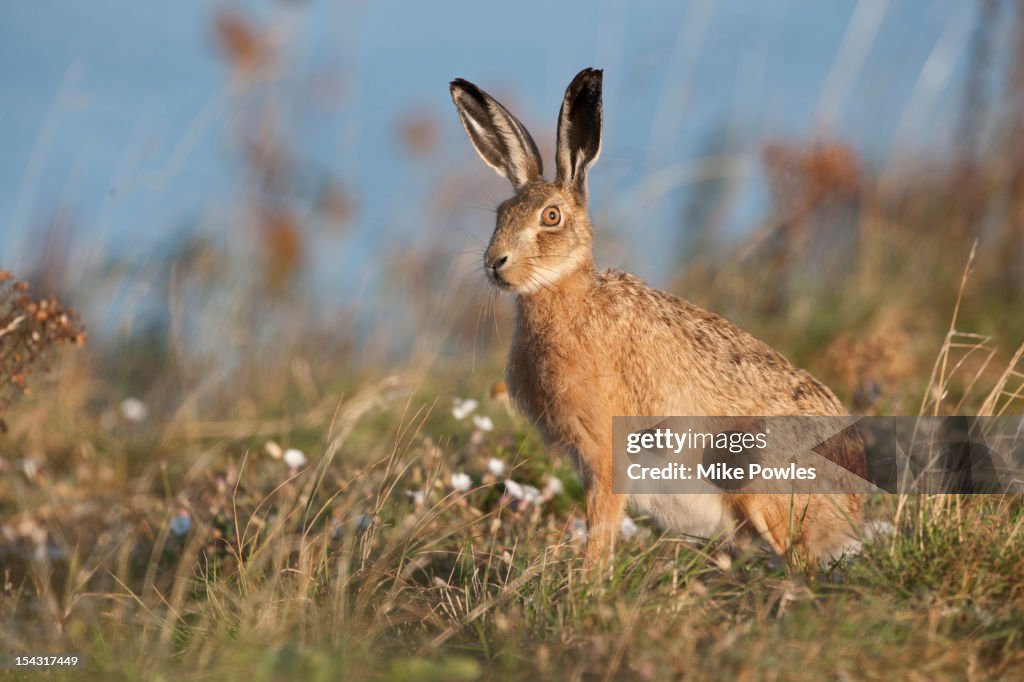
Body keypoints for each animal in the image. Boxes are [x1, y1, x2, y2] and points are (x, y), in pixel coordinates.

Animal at [450, 67, 865, 569]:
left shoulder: (606, 454)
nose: (495, 262)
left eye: (550, 217)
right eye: (500, 214)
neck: (566, 294)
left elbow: (601, 528)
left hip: (758, 480)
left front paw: (589, 580)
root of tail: (853, 511)